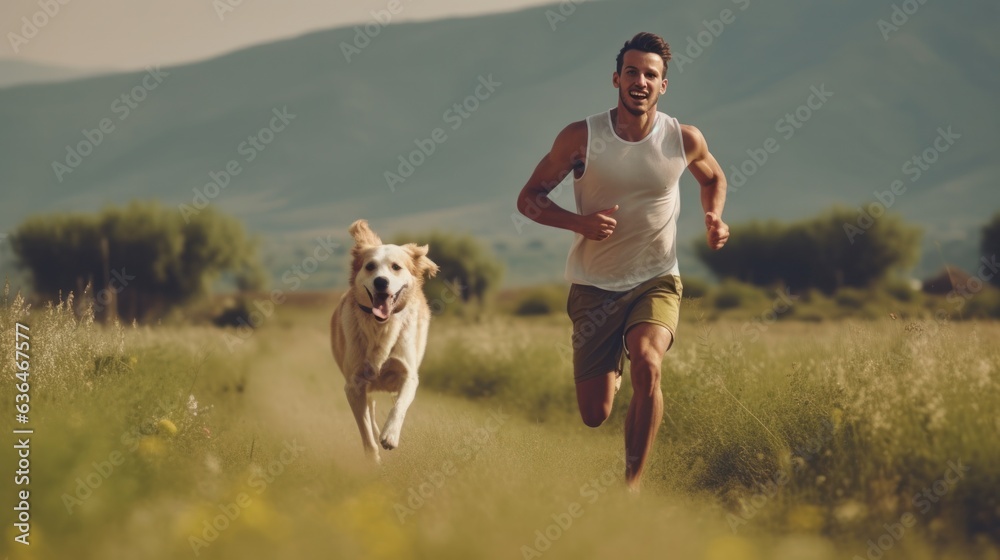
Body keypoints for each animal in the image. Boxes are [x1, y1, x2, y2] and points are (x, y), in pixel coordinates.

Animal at [332, 221, 438, 462]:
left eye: (396, 267)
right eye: (370, 266)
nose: (381, 281)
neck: (381, 326)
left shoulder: (408, 374)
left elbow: (399, 407)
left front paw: (390, 435)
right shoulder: (354, 385)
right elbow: (366, 434)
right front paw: (373, 460)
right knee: (370, 413)